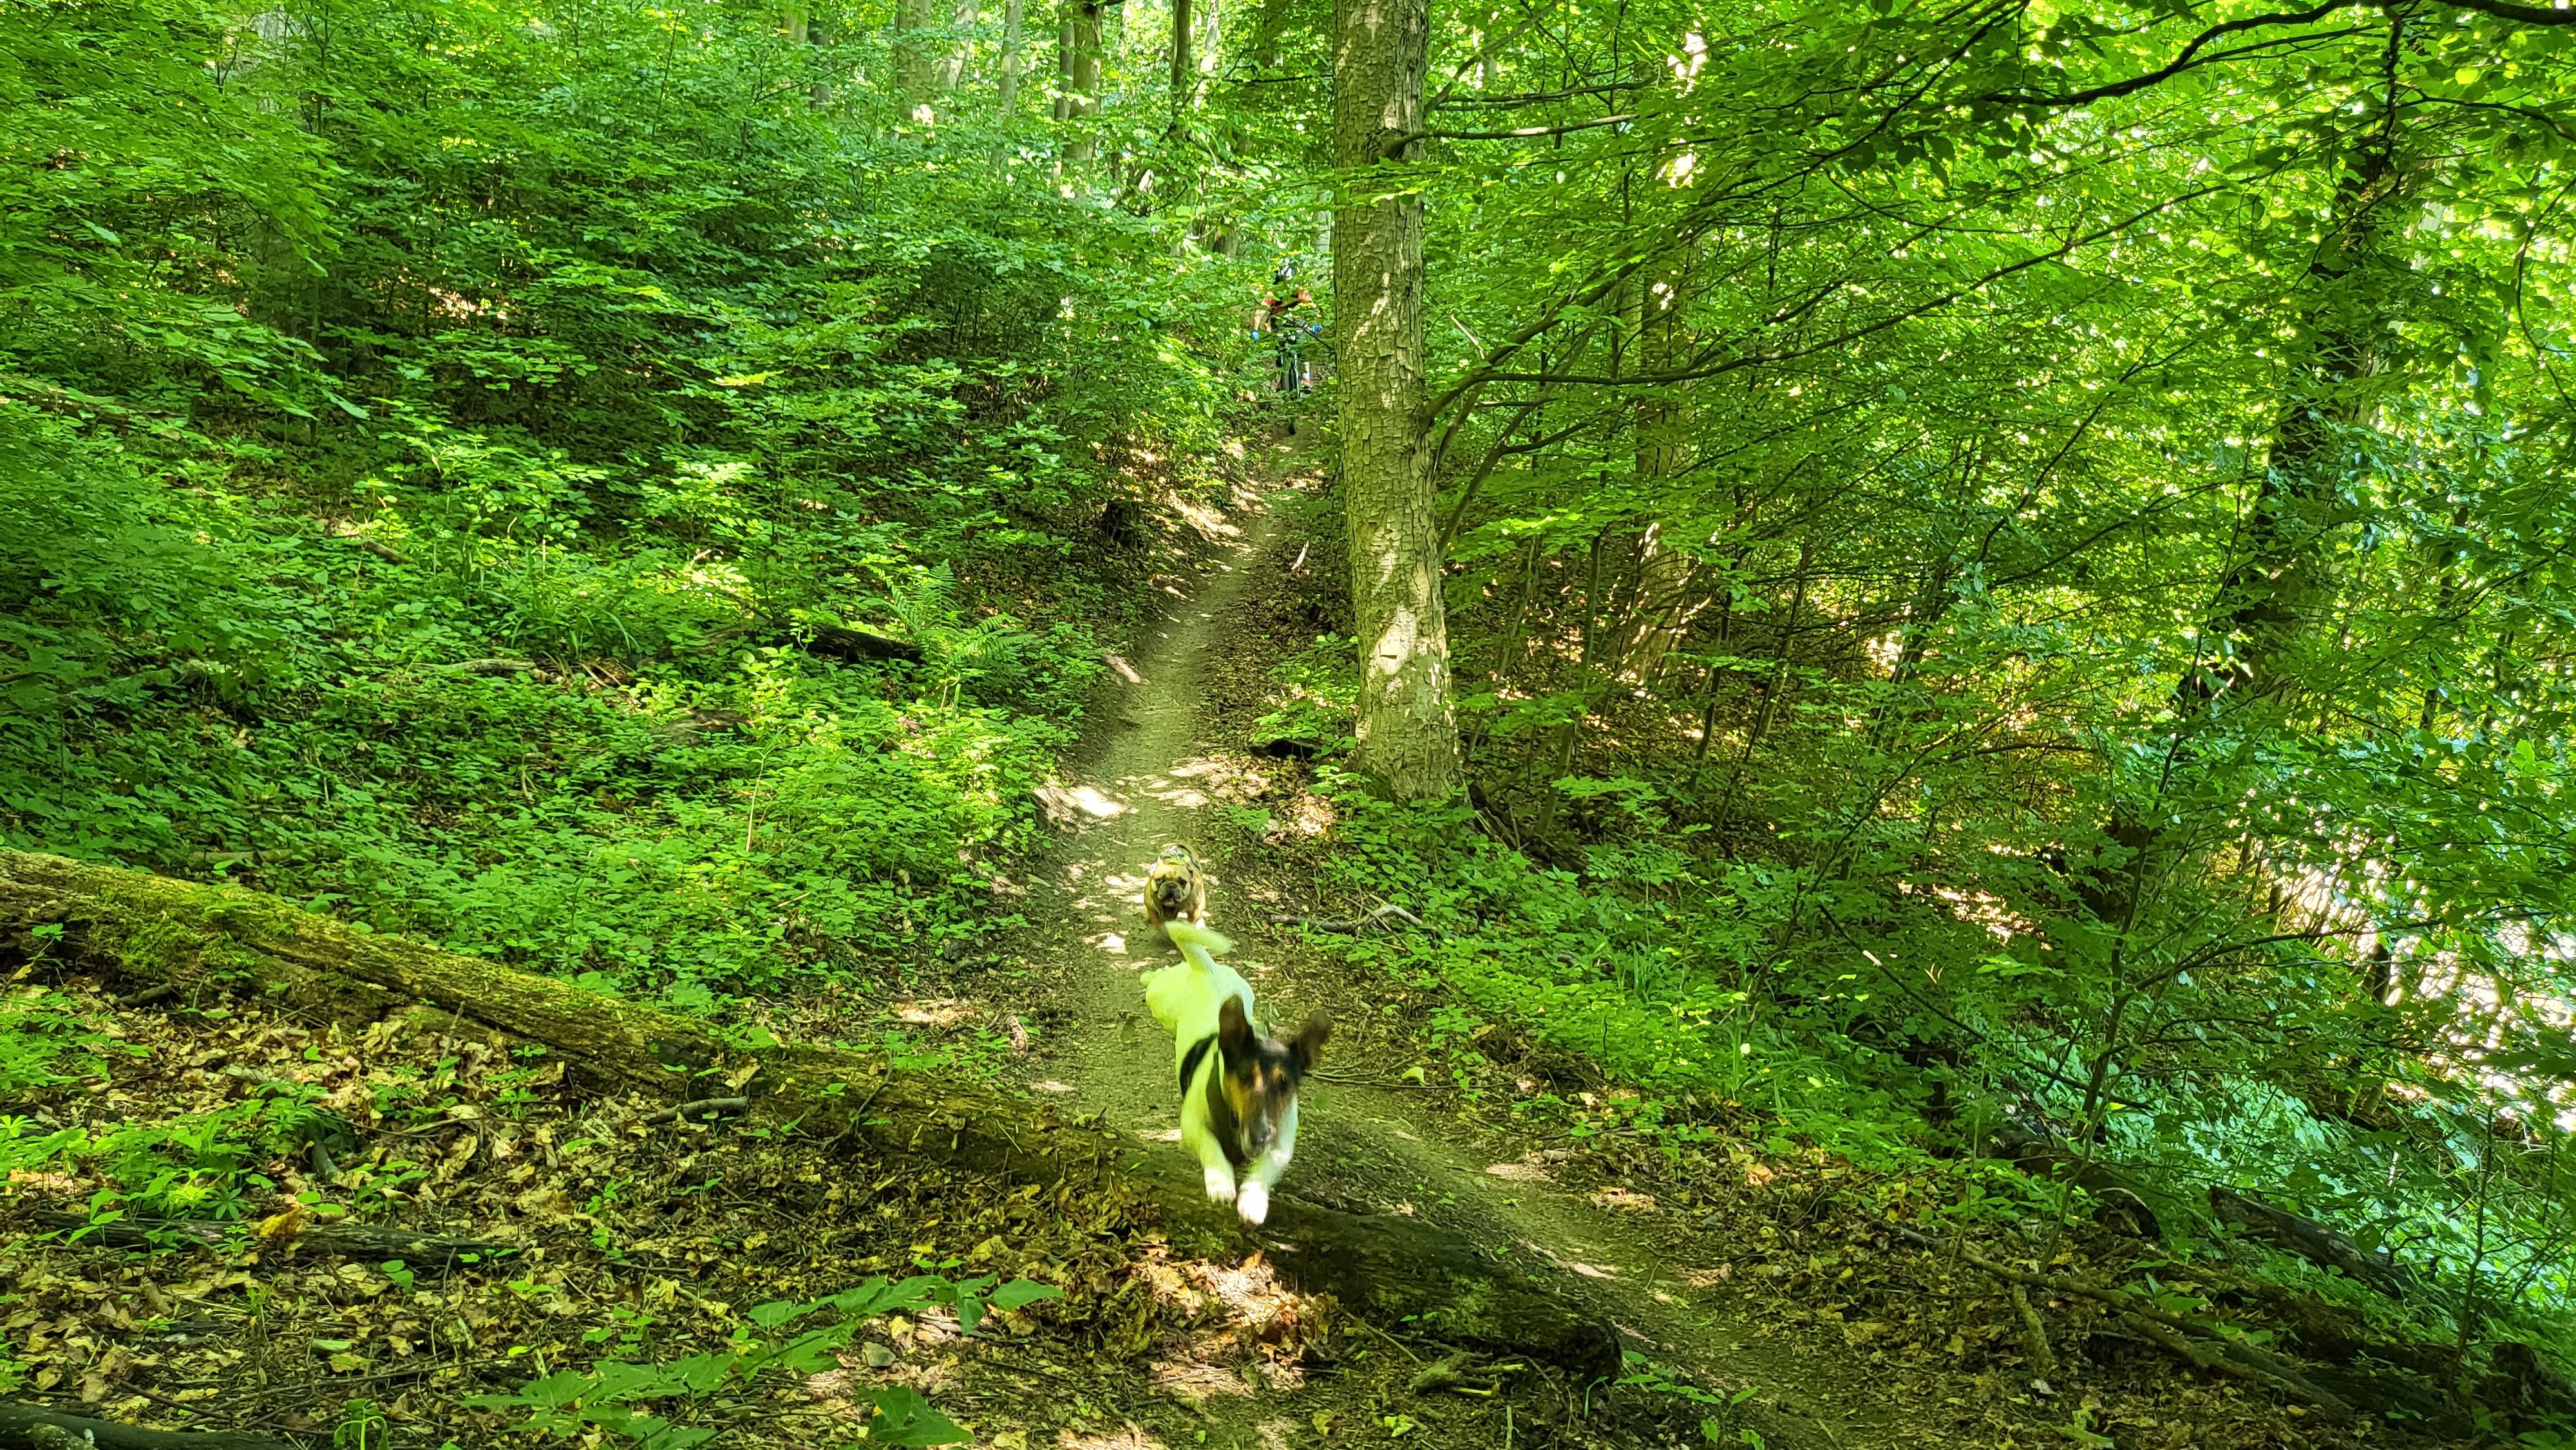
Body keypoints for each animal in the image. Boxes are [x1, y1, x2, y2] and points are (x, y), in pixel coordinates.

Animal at [1142, 844, 1210, 939]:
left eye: (1182, 882)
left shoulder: (1193, 911)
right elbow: (1160, 926)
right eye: (1159, 880)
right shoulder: (1152, 910)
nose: (1171, 885)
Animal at [1145, 921, 1329, 1226]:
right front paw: (1221, 1182)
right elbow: (1210, 1145)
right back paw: (1148, 974)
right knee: (1155, 980)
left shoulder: (1283, 1142)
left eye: (1284, 1085)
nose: (1260, 1137)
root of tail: (1206, 969)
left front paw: (1253, 1199)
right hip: (1159, 998)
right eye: (1244, 1077)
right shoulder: (1192, 1124)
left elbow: (1267, 1166)